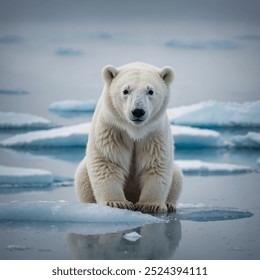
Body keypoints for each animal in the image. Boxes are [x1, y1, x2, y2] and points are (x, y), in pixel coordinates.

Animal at [74, 63, 182, 212]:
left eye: (150, 91)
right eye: (126, 91)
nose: (138, 111)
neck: (134, 130)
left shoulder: (154, 134)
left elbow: (155, 164)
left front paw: (150, 205)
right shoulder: (111, 129)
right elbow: (107, 162)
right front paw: (116, 202)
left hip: (175, 171)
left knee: (177, 176)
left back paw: (170, 204)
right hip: (84, 173)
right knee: (82, 178)